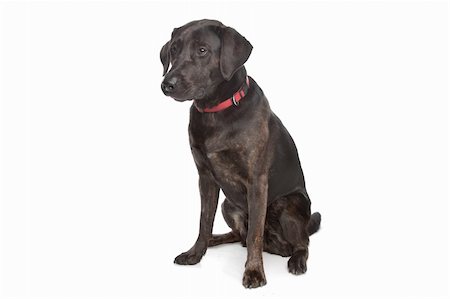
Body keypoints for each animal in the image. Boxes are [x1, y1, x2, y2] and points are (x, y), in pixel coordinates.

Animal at [160, 19, 322, 290]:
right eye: (174, 49)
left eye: (202, 50)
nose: (166, 85)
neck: (215, 111)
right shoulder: (205, 179)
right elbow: (204, 221)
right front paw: (196, 253)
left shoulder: (257, 182)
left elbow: (255, 232)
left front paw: (254, 272)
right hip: (229, 204)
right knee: (238, 235)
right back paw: (214, 240)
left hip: (290, 205)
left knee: (301, 243)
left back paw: (297, 260)